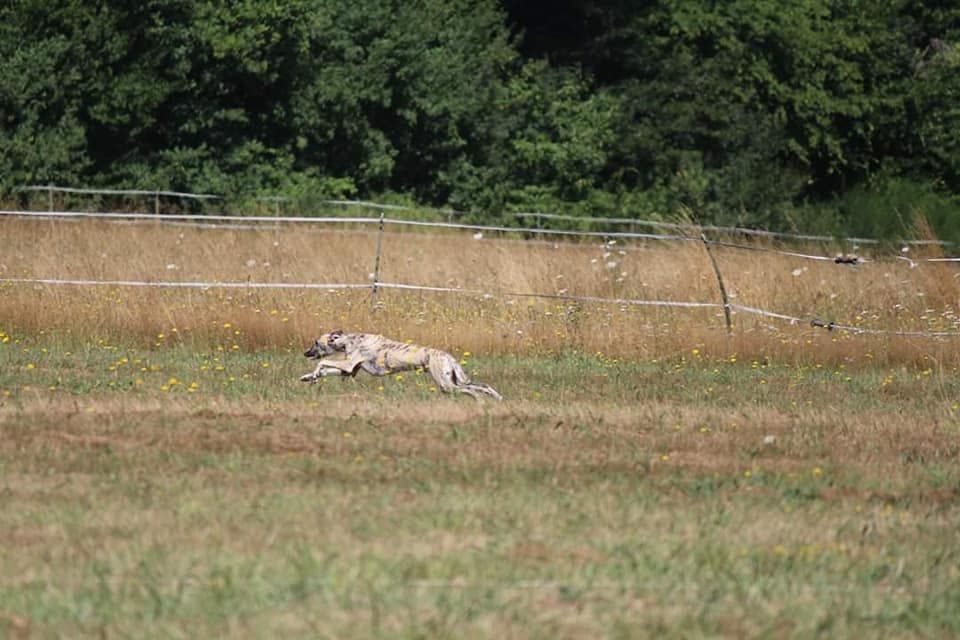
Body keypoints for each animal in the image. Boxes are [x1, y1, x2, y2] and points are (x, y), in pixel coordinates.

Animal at [302, 330, 502, 400]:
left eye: (316, 342)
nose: (305, 353)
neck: (348, 340)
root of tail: (448, 356)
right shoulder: (349, 372)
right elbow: (326, 370)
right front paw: (309, 377)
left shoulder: (348, 365)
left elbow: (323, 362)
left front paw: (313, 375)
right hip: (455, 380)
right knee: (483, 386)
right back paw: (497, 398)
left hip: (446, 384)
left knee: (472, 391)